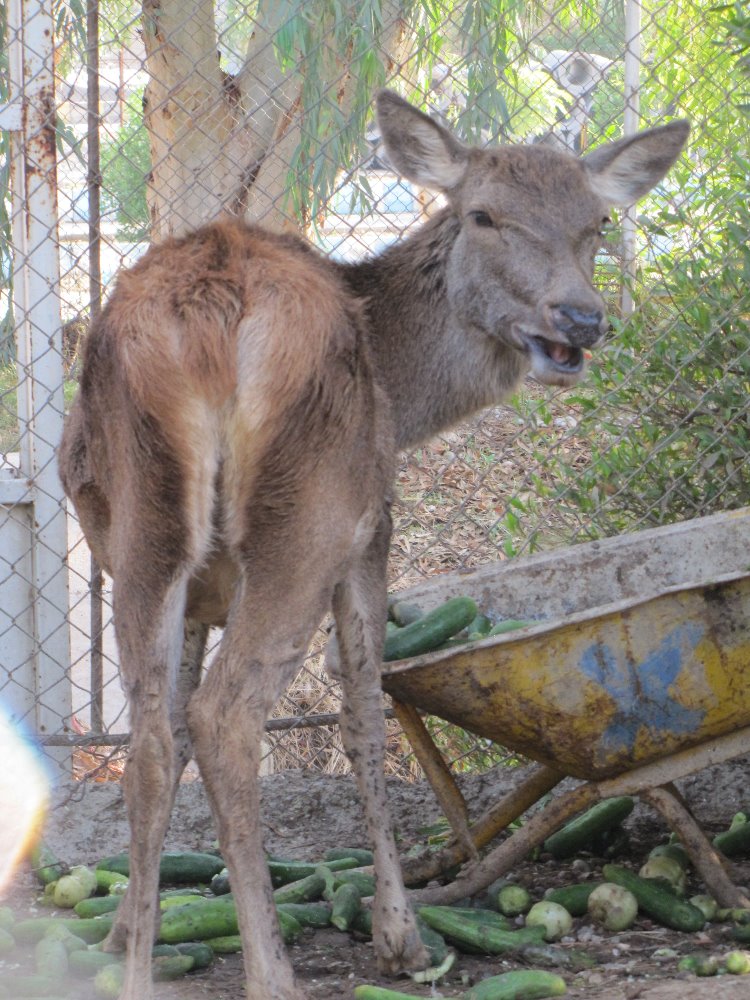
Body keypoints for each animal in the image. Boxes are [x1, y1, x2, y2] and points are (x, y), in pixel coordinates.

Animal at [58, 90, 688, 1000]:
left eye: (597, 221)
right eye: (483, 214)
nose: (580, 318)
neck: (406, 383)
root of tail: (212, 312)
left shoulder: (191, 584)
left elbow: (166, 731)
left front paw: (118, 939)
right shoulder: (375, 528)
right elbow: (363, 707)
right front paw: (401, 937)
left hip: (146, 530)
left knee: (151, 737)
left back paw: (146, 974)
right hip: (310, 517)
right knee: (227, 716)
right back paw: (275, 973)